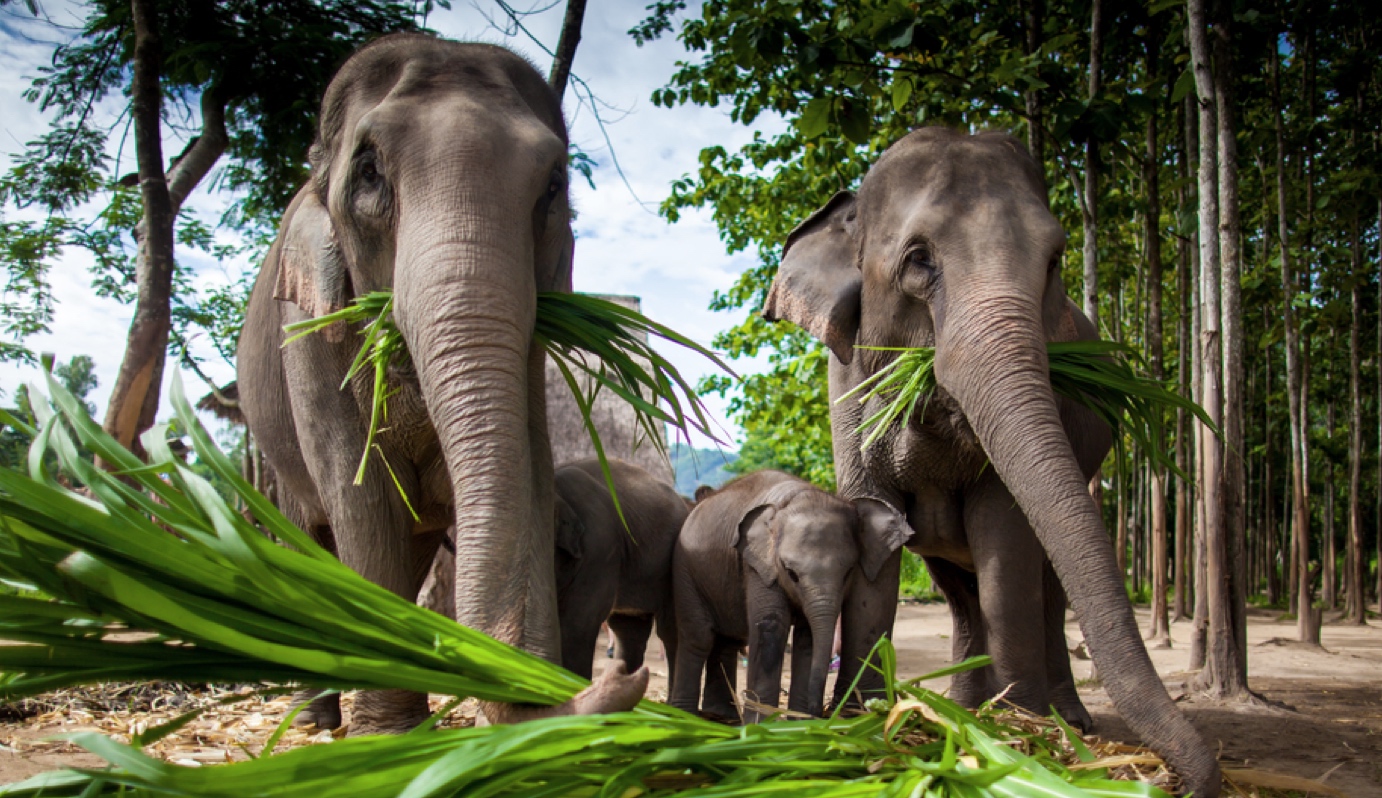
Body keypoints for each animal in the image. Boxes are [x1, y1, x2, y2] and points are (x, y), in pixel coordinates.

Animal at [236, 34, 646, 734]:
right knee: (311, 534)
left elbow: (529, 471)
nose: (621, 677)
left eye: (554, 184)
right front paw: (387, 735)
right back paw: (315, 719)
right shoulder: (308, 331)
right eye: (369, 172)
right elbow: (362, 497)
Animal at [669, 470, 911, 722]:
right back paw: (685, 716)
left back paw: (722, 716)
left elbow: (807, 638)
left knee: (727, 640)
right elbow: (771, 626)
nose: (819, 712)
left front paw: (799, 722)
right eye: (791, 573)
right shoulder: (758, 567)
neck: (799, 495)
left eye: (848, 573)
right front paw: (763, 725)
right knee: (699, 637)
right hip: (684, 570)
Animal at [762, 127, 1218, 795]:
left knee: (1043, 583)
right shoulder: (843, 387)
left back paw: (1058, 719)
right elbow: (876, 535)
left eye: (1054, 261)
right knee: (958, 590)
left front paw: (1022, 731)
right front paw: (861, 719)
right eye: (919, 259)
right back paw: (960, 708)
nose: (1178, 778)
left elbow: (1006, 539)